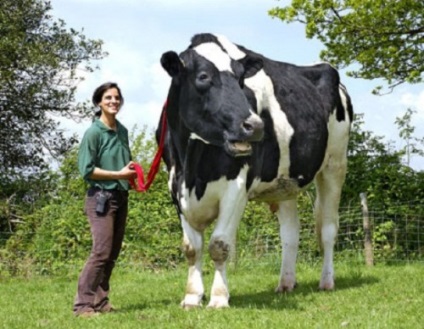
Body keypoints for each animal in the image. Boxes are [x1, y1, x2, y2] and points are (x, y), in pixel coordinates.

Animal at [157, 32, 352, 308]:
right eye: (203, 76)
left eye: (241, 80)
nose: (255, 125)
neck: (192, 168)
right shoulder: (175, 187)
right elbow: (191, 248)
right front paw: (192, 297)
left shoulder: (237, 187)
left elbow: (219, 245)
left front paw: (219, 298)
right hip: (285, 183)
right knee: (290, 233)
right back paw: (286, 283)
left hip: (335, 165)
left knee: (328, 228)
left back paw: (326, 281)